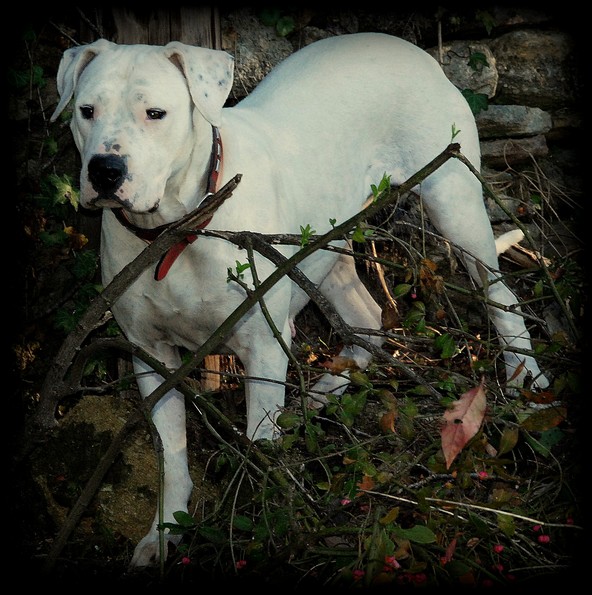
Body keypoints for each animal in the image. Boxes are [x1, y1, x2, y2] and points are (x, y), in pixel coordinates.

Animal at [50, 33, 549, 567]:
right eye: (86, 110)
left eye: (155, 113)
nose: (105, 170)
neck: (174, 233)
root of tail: (414, 50)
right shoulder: (151, 355)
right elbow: (172, 455)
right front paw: (164, 533)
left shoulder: (263, 348)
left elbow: (258, 445)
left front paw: (260, 528)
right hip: (323, 244)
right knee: (368, 317)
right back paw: (329, 387)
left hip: (455, 204)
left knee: (500, 296)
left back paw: (526, 381)